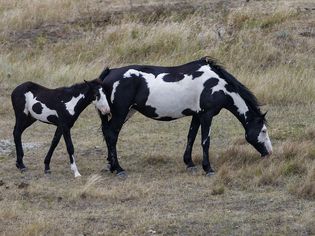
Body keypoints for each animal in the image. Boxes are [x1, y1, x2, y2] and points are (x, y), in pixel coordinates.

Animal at [99, 56, 274, 176]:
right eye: (263, 130)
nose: (269, 153)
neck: (216, 84)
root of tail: (109, 73)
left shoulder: (197, 115)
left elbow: (191, 136)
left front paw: (189, 163)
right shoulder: (207, 115)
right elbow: (205, 141)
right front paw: (208, 168)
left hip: (125, 113)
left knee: (108, 134)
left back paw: (110, 165)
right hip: (121, 113)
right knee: (112, 135)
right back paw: (118, 169)